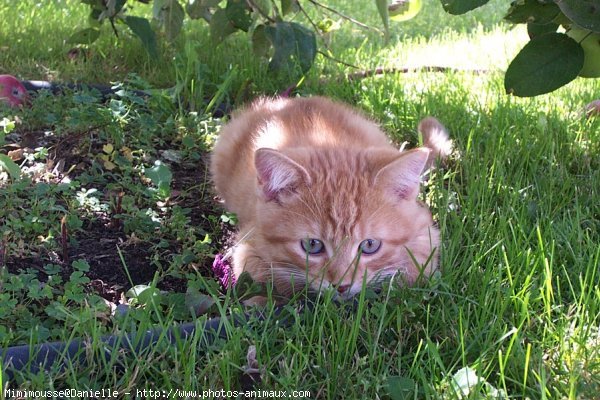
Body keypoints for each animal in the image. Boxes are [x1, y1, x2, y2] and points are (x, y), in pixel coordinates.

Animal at [211, 96, 450, 296]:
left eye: (370, 245)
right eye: (312, 245)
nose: (341, 286)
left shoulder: (425, 232)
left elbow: (418, 266)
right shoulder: (248, 245)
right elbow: (261, 281)